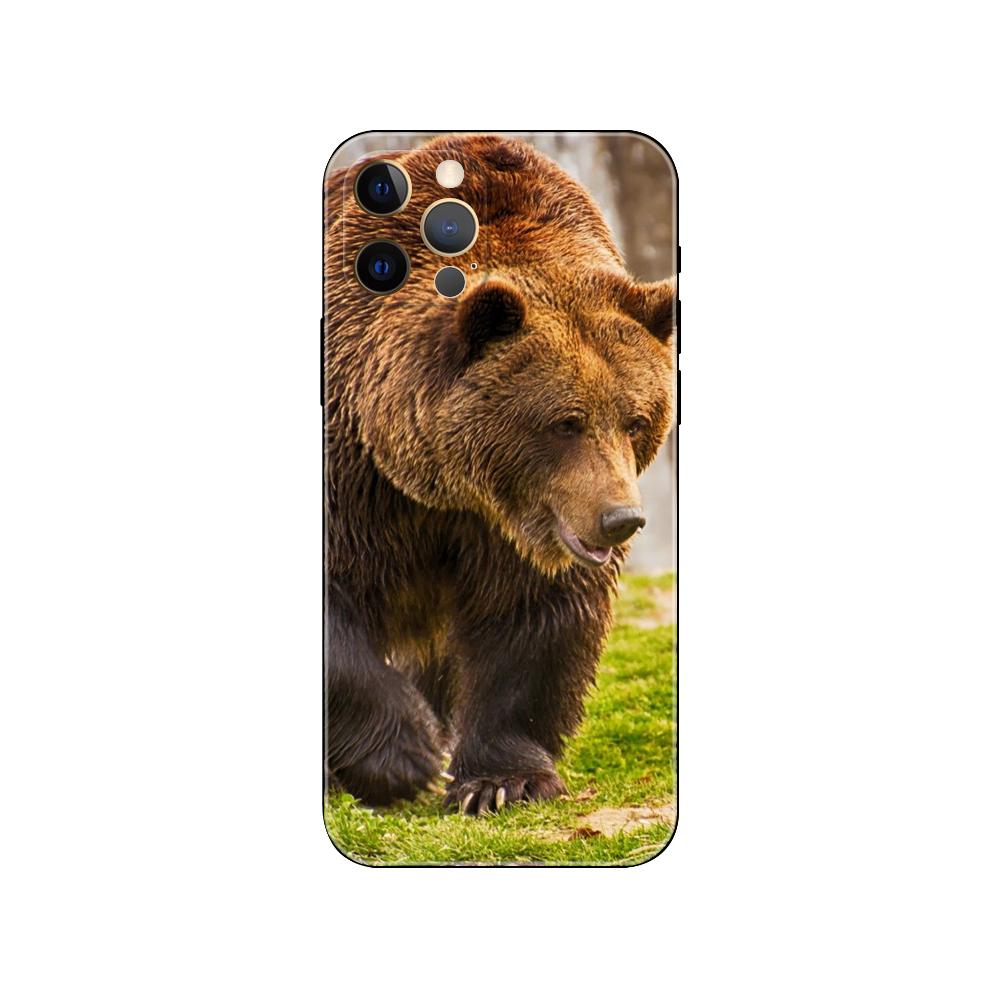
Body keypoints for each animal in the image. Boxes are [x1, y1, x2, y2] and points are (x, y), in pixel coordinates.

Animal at [323, 134, 676, 815]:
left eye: (637, 419)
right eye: (566, 421)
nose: (622, 519)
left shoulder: (521, 528)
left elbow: (533, 619)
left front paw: (499, 781)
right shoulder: (352, 476)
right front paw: (405, 756)